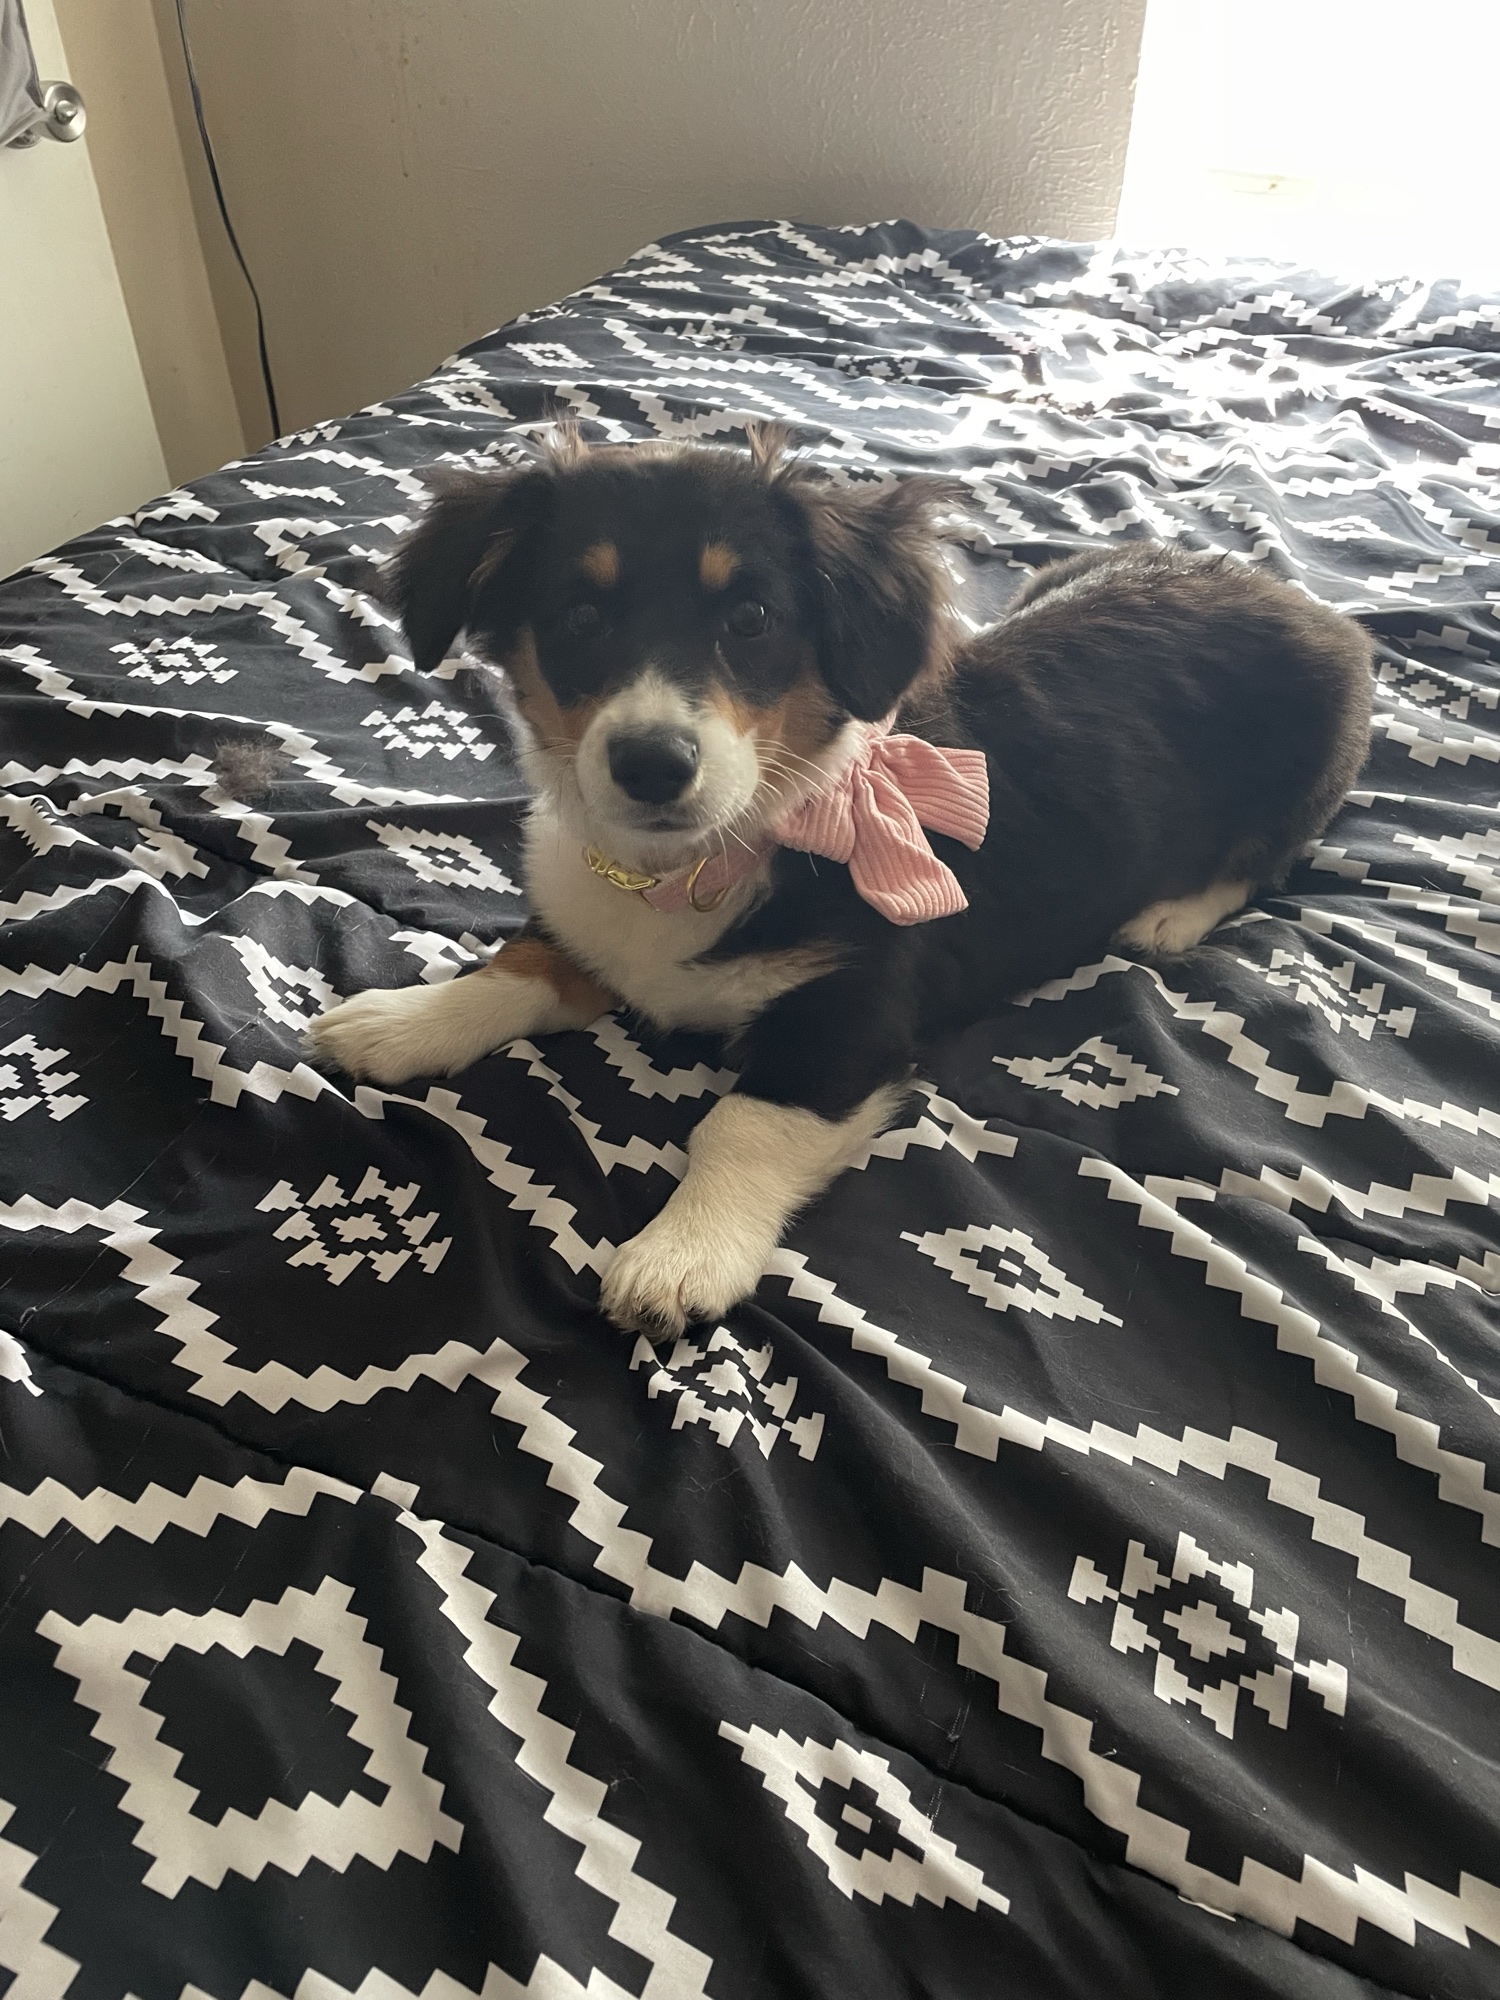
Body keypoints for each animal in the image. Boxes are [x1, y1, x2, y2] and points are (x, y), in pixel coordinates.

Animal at [309, 429, 1372, 1339]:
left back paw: (1169, 915)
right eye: (577, 617)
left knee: (1268, 855)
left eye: (751, 619)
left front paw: (680, 1257)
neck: (699, 864)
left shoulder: (848, 1020)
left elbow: (740, 1126)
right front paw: (400, 1023)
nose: (652, 766)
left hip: (1316, 750)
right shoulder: (584, 922)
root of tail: (1291, 597)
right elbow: (522, 963)